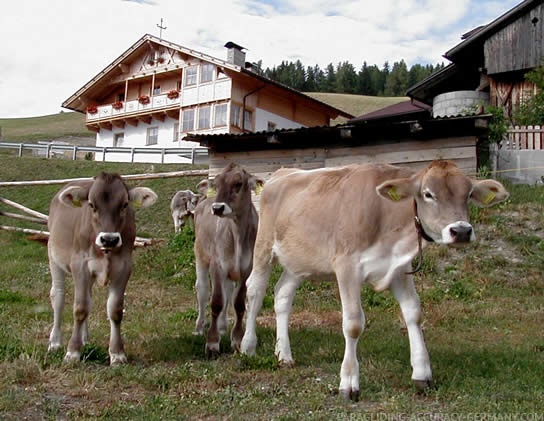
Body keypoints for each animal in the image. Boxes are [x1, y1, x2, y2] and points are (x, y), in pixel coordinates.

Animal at [46, 172, 157, 362]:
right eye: (91, 205)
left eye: (124, 205)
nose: (109, 239)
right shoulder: (80, 265)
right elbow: (80, 308)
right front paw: (72, 352)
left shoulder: (124, 268)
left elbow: (115, 310)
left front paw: (117, 353)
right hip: (54, 258)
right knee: (58, 297)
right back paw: (55, 342)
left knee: (88, 298)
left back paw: (85, 338)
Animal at [193, 162, 264, 356]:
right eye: (216, 184)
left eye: (238, 183)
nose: (217, 208)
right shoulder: (217, 266)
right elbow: (216, 302)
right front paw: (212, 343)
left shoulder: (246, 269)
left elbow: (238, 303)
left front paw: (237, 340)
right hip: (200, 255)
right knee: (202, 290)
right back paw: (199, 327)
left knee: (228, 291)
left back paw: (223, 327)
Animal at [240, 161, 508, 400]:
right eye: (428, 194)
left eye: (468, 193)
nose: (461, 231)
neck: (386, 216)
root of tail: (281, 173)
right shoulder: (346, 266)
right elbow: (353, 324)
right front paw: (348, 384)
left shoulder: (398, 268)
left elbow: (413, 313)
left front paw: (422, 373)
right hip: (264, 246)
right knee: (254, 291)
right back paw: (247, 346)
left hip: (300, 262)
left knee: (282, 295)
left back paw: (284, 354)